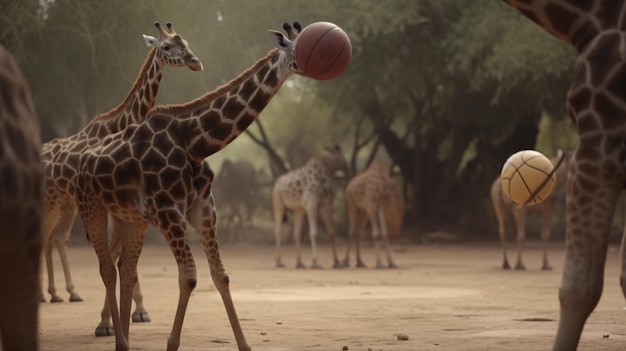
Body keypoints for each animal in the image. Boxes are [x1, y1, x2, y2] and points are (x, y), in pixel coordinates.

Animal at [40, 20, 200, 336]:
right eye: (166, 46)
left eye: (186, 42)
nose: (194, 61)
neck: (122, 122)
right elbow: (117, 255)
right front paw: (112, 321)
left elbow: (121, 255)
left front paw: (138, 312)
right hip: (50, 199)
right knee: (44, 236)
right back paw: (48, 294)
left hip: (64, 201)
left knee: (52, 237)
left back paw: (59, 293)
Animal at [72, 22, 316, 351]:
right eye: (296, 47)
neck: (195, 142)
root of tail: (81, 164)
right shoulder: (168, 212)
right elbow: (188, 277)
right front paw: (171, 343)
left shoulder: (203, 208)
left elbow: (221, 275)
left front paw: (245, 345)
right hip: (91, 208)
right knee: (108, 269)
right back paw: (116, 336)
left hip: (130, 218)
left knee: (126, 268)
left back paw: (125, 336)